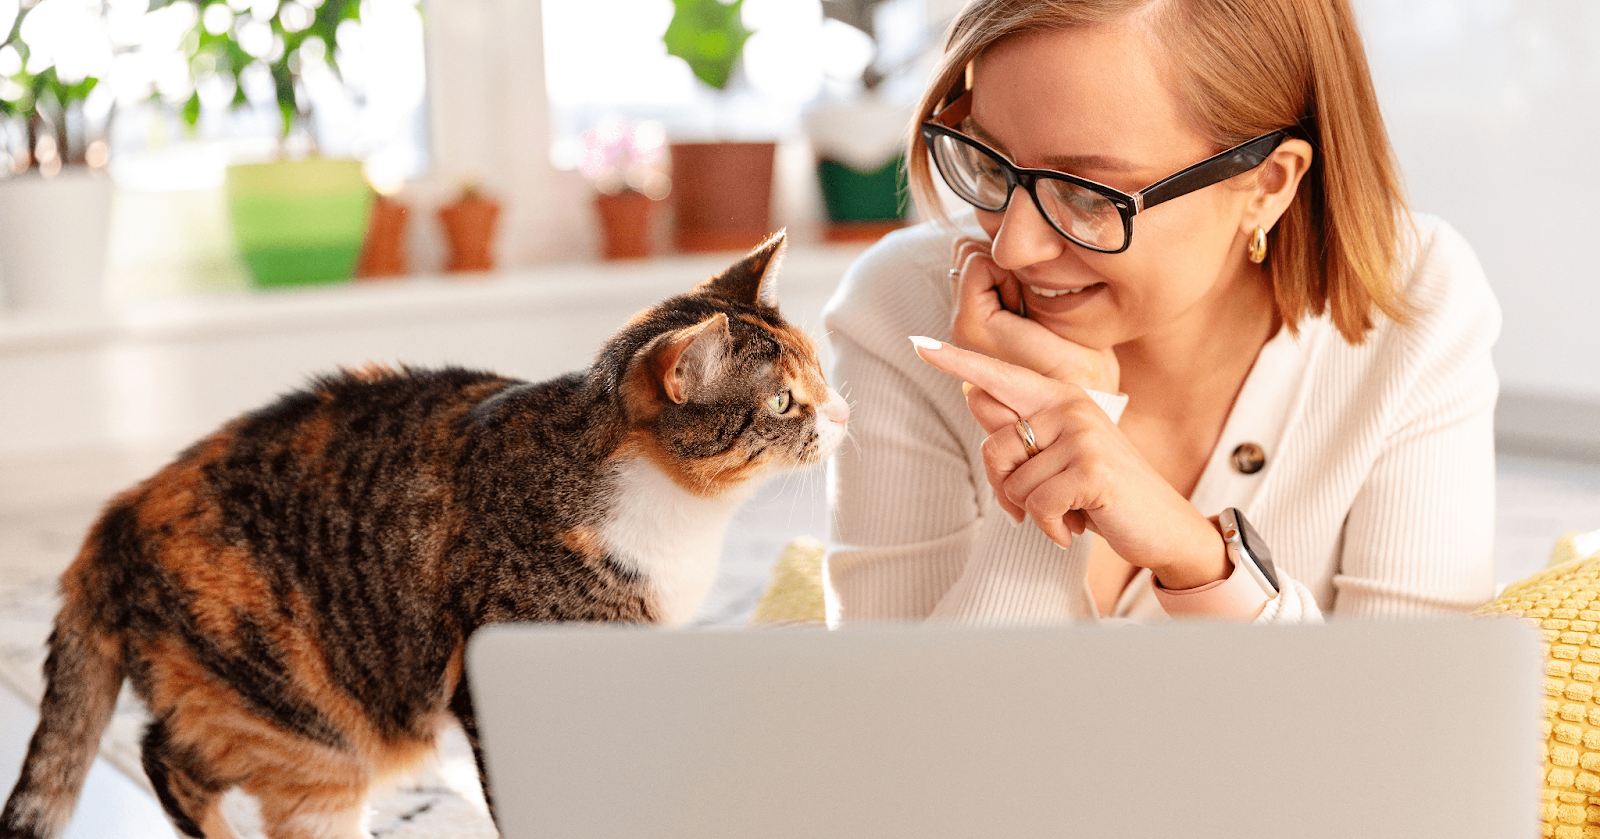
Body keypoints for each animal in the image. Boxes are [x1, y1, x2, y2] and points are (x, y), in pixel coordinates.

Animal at [0, 232, 851, 839]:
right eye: (783, 401)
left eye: (820, 369)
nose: (844, 412)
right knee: (171, 758)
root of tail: (116, 513)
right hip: (304, 720)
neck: (682, 518)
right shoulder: (499, 667)